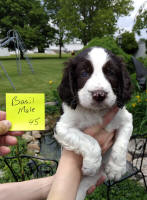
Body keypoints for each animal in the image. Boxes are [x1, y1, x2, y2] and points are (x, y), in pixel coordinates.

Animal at [54, 47, 133, 200]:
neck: (96, 112)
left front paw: (116, 169)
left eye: (111, 72)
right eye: (84, 73)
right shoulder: (62, 127)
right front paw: (91, 165)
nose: (99, 94)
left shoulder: (126, 119)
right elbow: (89, 140)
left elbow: (121, 145)